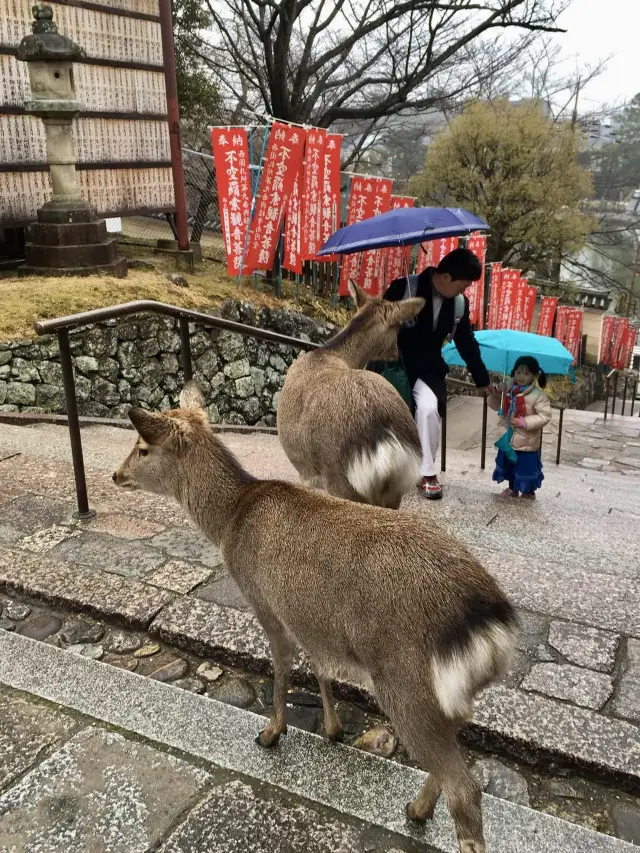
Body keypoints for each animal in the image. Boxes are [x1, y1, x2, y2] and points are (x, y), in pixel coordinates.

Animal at [113, 382, 518, 853]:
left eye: (142, 447)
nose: (115, 475)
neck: (230, 521)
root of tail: (492, 625)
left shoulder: (264, 599)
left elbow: (283, 663)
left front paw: (271, 733)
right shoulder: (307, 613)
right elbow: (320, 665)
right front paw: (332, 729)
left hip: (406, 682)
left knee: (465, 791)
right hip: (450, 696)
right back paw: (416, 808)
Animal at [277, 280, 424, 509]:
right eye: (398, 328)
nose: (396, 353)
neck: (331, 353)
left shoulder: (306, 472)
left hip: (341, 481)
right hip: (395, 492)